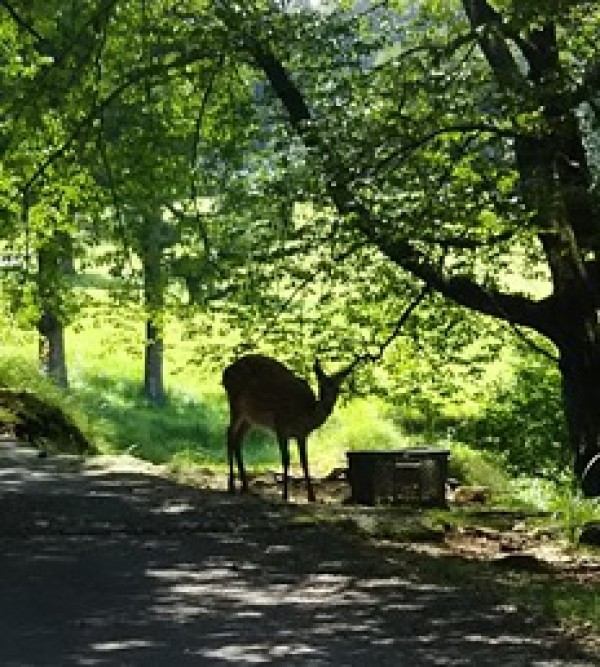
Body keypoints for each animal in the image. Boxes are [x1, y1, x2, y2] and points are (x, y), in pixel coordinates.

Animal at [221, 354, 354, 500]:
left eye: (338, 390)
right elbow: (285, 459)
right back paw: (231, 486)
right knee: (229, 433)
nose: (328, 407)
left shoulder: (302, 435)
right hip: (235, 404)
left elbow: (304, 461)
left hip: (249, 417)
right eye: (322, 387)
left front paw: (311, 496)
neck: (304, 416)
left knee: (237, 439)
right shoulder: (280, 426)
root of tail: (225, 372)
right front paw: (284, 494)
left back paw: (245, 487)